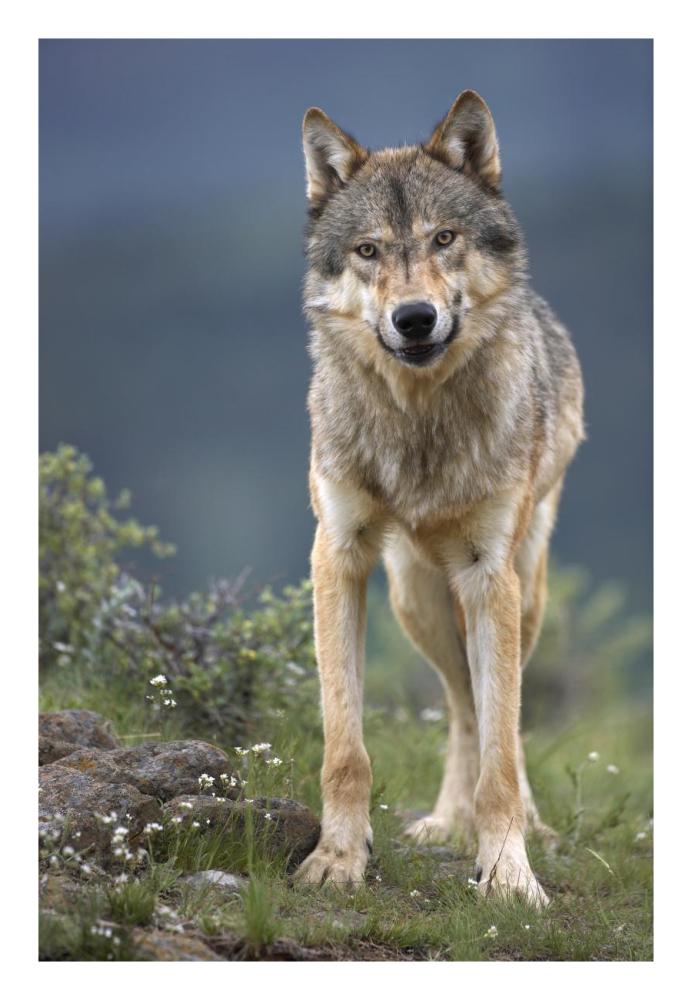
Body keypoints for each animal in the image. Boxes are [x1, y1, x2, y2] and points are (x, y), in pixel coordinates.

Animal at [294, 91, 584, 907]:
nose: (415, 317)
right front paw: (338, 859)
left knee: (493, 720)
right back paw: (447, 824)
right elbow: (346, 747)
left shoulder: (489, 575)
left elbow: (502, 750)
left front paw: (510, 872)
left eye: (444, 238)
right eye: (368, 250)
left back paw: (519, 829)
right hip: (414, 598)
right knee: (460, 706)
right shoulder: (338, 557)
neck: (419, 427)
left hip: (520, 591)